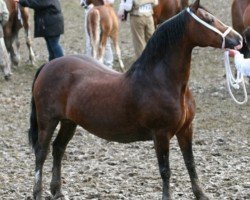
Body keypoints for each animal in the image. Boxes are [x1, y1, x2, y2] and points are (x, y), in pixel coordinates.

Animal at [28, 0, 241, 200]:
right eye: (209, 19)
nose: (238, 39)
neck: (162, 80)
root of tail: (48, 65)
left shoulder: (186, 130)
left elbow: (191, 163)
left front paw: (201, 194)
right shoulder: (161, 134)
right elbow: (165, 170)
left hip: (69, 121)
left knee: (58, 149)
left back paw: (57, 191)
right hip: (48, 121)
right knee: (41, 153)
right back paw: (38, 192)